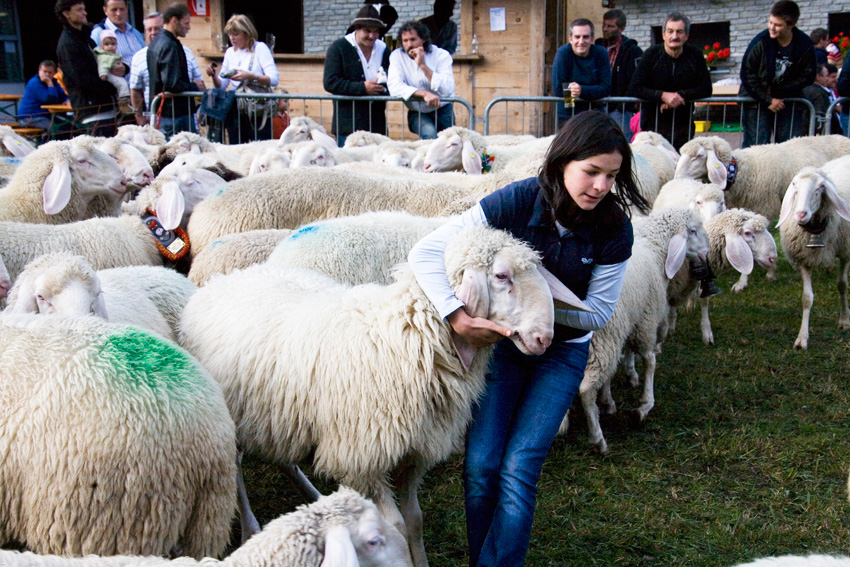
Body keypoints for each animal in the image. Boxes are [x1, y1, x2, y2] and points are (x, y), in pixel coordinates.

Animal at [181, 226, 584, 567]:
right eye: (502, 276)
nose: (544, 338)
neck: (405, 338)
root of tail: (223, 279)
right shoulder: (363, 458)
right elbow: (397, 528)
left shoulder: (414, 452)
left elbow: (415, 521)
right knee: (235, 471)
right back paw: (250, 526)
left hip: (276, 409)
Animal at [772, 155, 848, 350]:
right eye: (795, 185)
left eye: (820, 187)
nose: (800, 214)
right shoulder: (803, 260)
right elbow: (807, 298)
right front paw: (802, 338)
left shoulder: (846, 252)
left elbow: (842, 285)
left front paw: (845, 319)